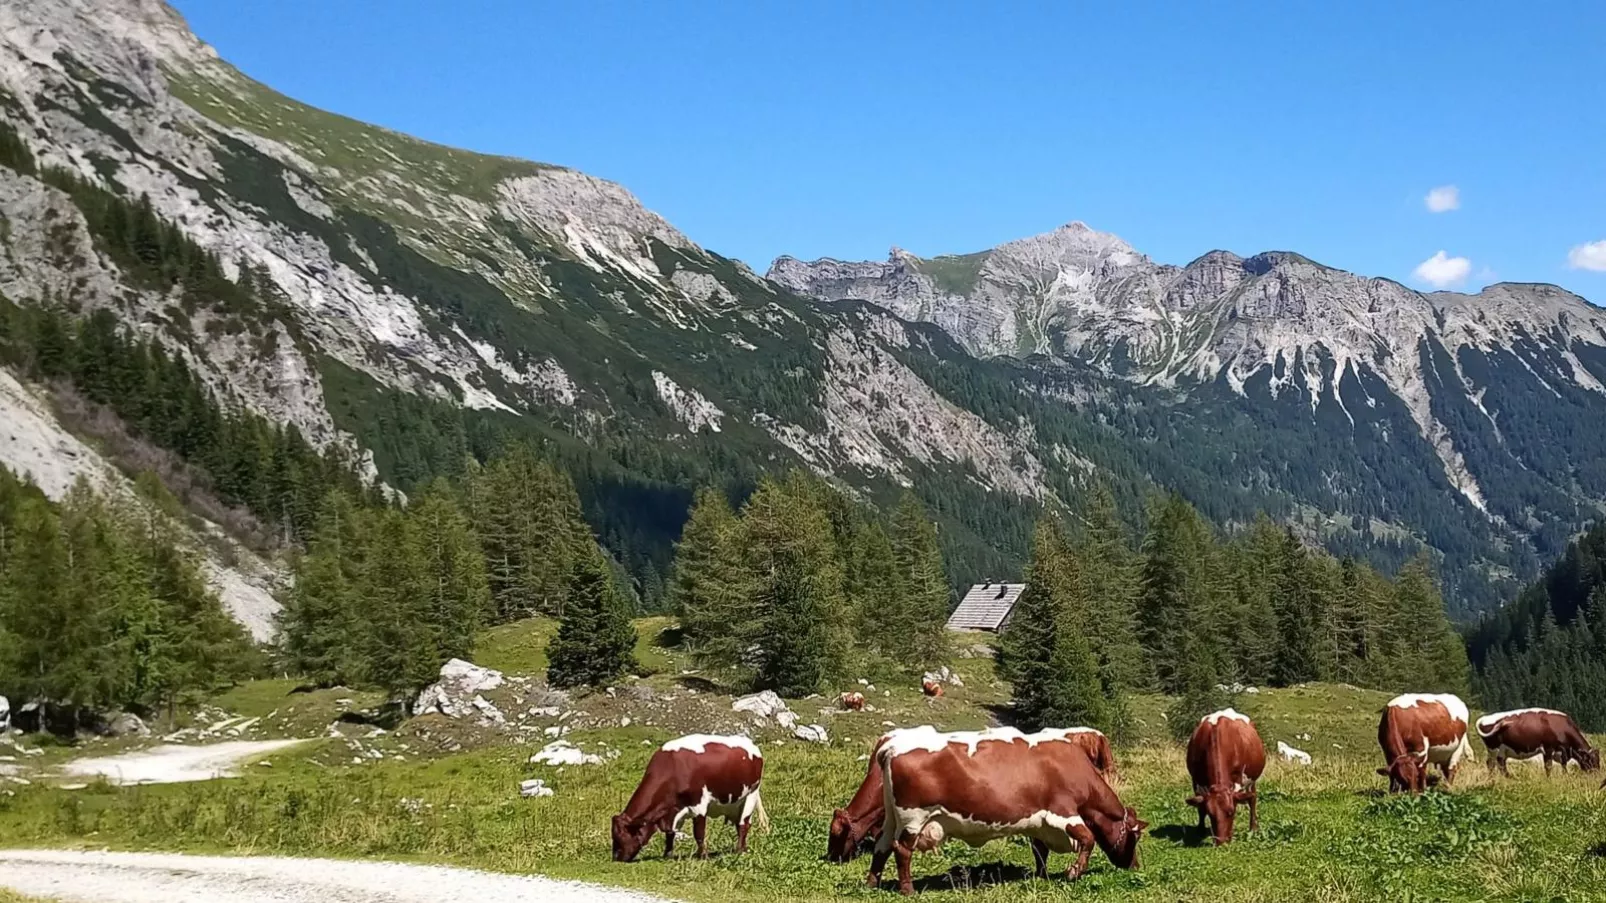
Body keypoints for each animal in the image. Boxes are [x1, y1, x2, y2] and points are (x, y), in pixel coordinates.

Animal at [610, 732, 767, 854]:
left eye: (621, 836)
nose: (616, 858)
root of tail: (752, 746)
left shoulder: (699, 805)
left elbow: (699, 832)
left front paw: (702, 855)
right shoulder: (674, 811)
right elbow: (670, 833)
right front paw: (667, 854)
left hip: (751, 795)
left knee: (743, 824)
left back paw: (739, 851)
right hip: (733, 804)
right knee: (740, 824)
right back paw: (743, 848)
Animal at [867, 719, 1143, 886]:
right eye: (1135, 836)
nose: (1136, 865)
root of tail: (891, 745)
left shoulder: (1039, 821)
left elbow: (1040, 850)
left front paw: (1041, 876)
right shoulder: (1061, 813)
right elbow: (1088, 839)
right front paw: (1074, 871)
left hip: (892, 818)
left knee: (881, 845)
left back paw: (872, 883)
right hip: (913, 817)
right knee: (902, 850)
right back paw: (907, 889)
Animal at [1182, 703, 1265, 841]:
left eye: (1231, 812)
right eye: (1211, 814)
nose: (1222, 842)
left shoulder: (1238, 781)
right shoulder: (1196, 780)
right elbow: (1200, 807)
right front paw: (1200, 830)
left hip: (1252, 779)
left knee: (1252, 799)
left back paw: (1253, 828)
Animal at [1471, 703, 1599, 774]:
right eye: (1592, 760)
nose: (1596, 773)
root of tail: (1483, 718)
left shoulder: (1562, 752)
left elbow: (1563, 766)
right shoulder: (1548, 748)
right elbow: (1548, 767)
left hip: (1501, 751)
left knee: (1498, 765)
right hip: (1494, 749)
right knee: (1492, 764)